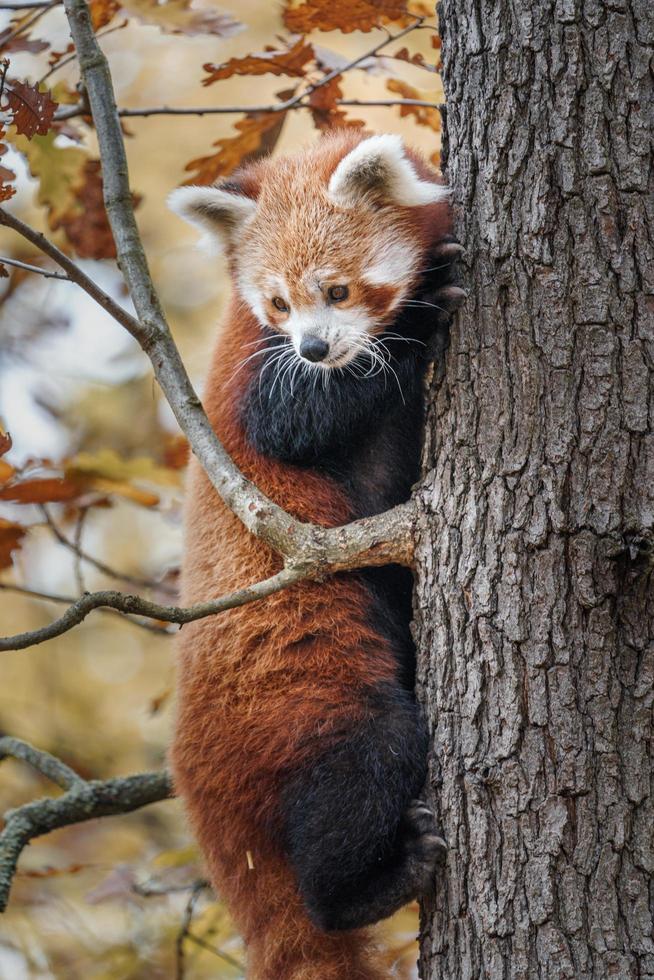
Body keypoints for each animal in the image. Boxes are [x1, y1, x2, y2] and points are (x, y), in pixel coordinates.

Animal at [169, 132, 466, 980]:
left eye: (336, 290)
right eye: (277, 303)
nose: (313, 345)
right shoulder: (248, 377)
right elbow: (292, 423)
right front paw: (421, 311)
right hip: (306, 705)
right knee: (367, 762)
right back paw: (371, 884)